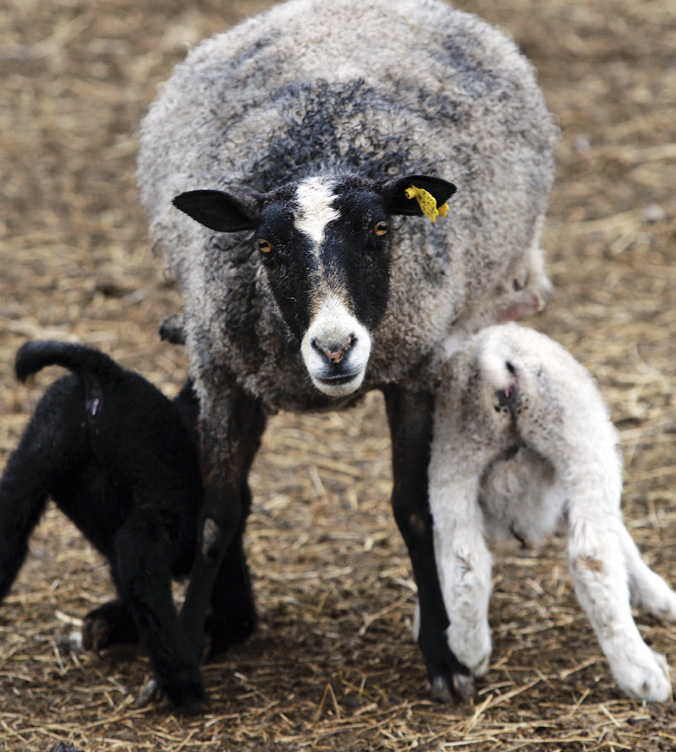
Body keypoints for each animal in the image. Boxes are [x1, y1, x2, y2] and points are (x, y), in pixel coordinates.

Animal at [139, 0, 560, 704]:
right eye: (266, 247)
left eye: (382, 230)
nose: (335, 349)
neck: (325, 148)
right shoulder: (223, 373)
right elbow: (217, 518)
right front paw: (180, 657)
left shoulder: (415, 369)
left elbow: (413, 510)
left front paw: (443, 655)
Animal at [428, 324, 676, 704]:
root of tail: (500, 349)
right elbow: (620, 539)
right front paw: (659, 596)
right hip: (581, 445)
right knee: (592, 558)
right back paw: (642, 675)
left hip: (455, 455)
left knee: (464, 561)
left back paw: (469, 650)